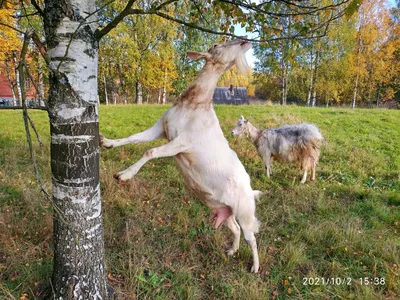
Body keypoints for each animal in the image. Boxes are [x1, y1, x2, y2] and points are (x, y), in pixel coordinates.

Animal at [100, 38, 262, 274]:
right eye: (217, 45)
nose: (244, 40)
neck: (194, 104)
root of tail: (251, 189)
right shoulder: (161, 128)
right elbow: (135, 138)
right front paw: (106, 142)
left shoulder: (182, 143)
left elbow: (150, 151)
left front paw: (124, 175)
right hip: (223, 209)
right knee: (235, 229)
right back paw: (231, 251)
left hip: (245, 211)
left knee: (252, 237)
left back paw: (255, 267)